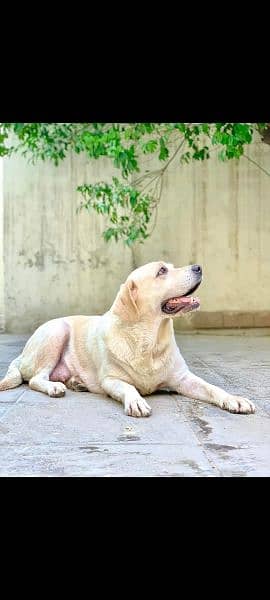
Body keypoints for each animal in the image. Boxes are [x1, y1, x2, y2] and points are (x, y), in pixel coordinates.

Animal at [0, 262, 255, 418]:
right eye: (162, 270)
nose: (198, 267)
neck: (149, 342)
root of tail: (21, 355)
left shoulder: (183, 379)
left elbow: (213, 388)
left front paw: (235, 399)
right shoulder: (111, 379)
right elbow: (128, 387)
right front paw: (136, 401)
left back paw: (76, 382)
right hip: (56, 330)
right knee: (36, 379)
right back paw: (55, 386)